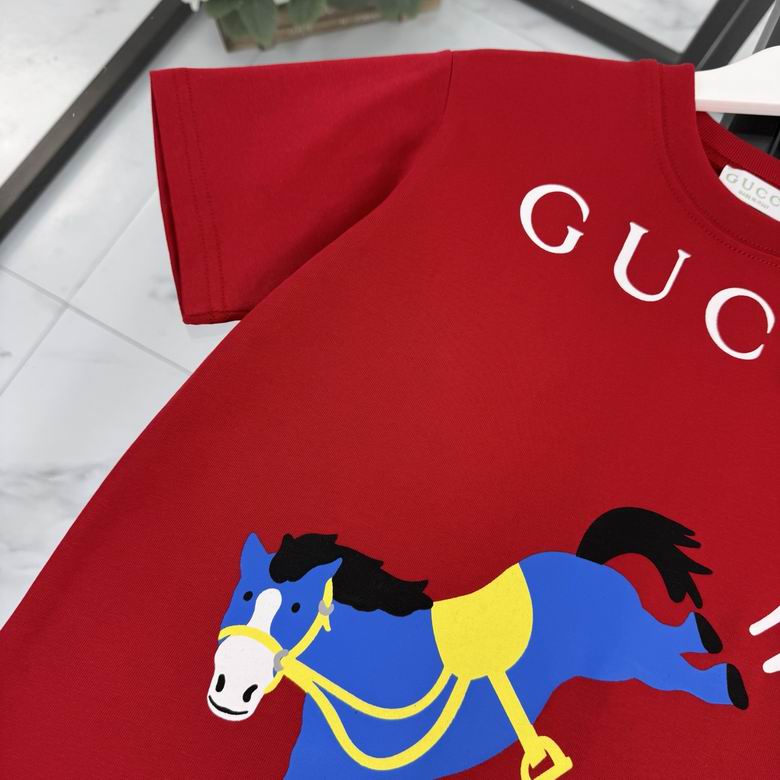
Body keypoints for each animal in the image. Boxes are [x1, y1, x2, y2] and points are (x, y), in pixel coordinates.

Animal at [207, 507, 748, 778]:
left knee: (669, 661)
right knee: (674, 644)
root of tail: (582, 559)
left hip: (618, 657)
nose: (229, 688)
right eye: (244, 594)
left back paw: (729, 685)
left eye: (297, 608)